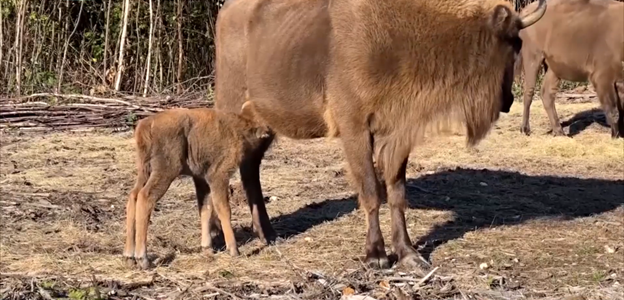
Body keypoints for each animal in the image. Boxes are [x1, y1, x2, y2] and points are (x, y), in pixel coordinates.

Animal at [123, 103, 270, 270]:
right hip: (165, 172)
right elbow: (223, 209)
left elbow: (205, 209)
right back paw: (143, 259)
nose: (267, 132)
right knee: (145, 197)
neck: (240, 125)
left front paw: (207, 249)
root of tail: (147, 124)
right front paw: (234, 250)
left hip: (144, 171)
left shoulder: (201, 179)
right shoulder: (218, 176)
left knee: (133, 196)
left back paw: (129, 256)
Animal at [213, 0, 544, 272]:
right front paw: (376, 256)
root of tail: (226, 12)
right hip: (232, 115)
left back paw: (268, 234)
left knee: (250, 168)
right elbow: (372, 191)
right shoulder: (356, 129)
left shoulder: (396, 134)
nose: (507, 101)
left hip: (263, 126)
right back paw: (231, 236)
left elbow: (396, 193)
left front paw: (409, 254)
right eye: (514, 43)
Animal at [516, 0, 624, 138]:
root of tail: (525, 10)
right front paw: (615, 136)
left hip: (553, 68)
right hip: (532, 57)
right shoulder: (603, 78)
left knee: (547, 94)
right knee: (528, 91)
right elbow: (613, 111)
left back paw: (559, 131)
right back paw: (525, 129)